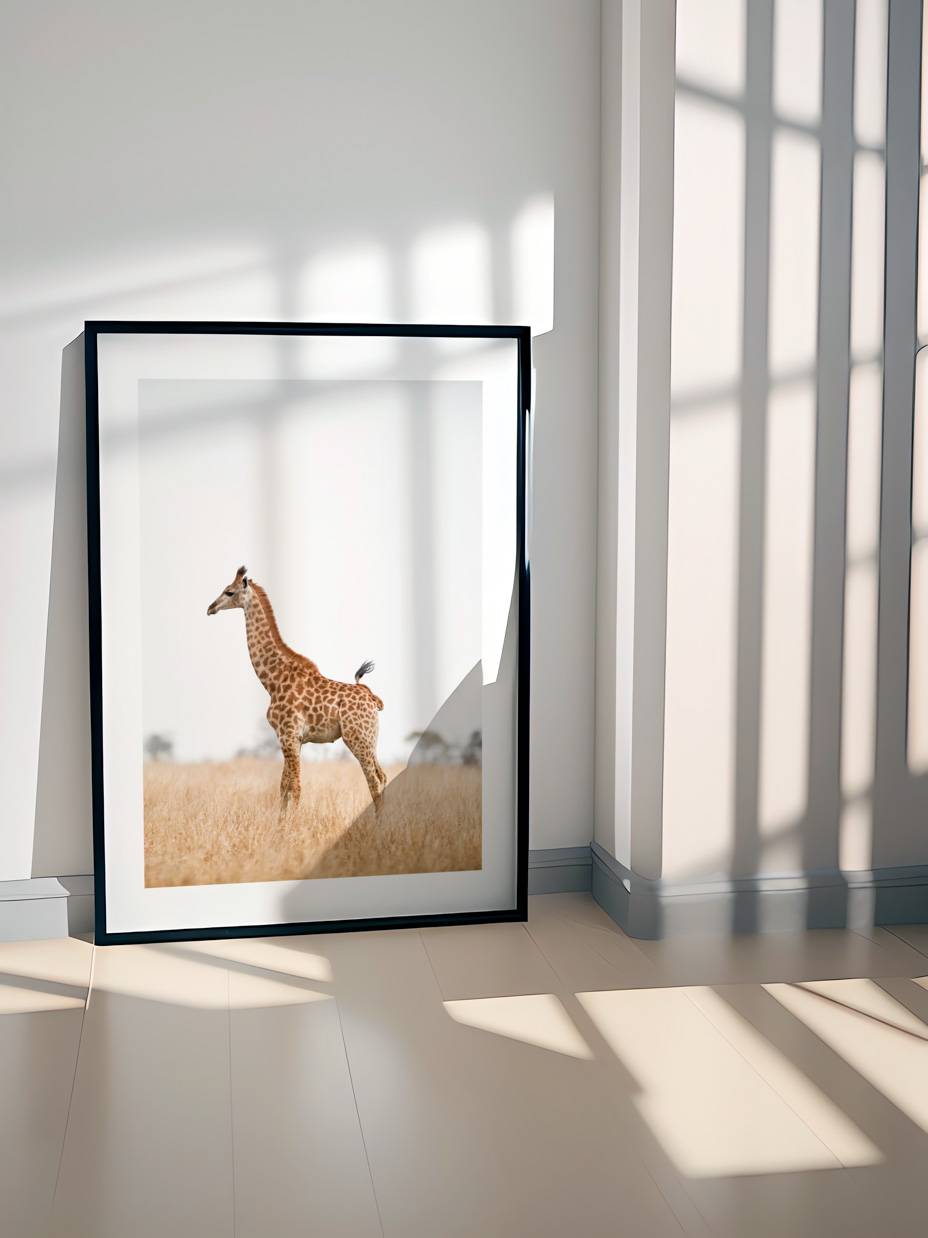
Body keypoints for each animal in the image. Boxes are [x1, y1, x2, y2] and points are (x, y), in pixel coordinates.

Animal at [207, 566, 386, 817]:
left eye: (229, 592)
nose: (210, 608)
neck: (272, 680)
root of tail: (372, 699)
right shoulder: (291, 738)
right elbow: (284, 785)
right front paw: (281, 823)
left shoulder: (289, 734)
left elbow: (295, 786)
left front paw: (294, 822)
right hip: (370, 739)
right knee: (382, 775)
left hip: (357, 737)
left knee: (374, 780)